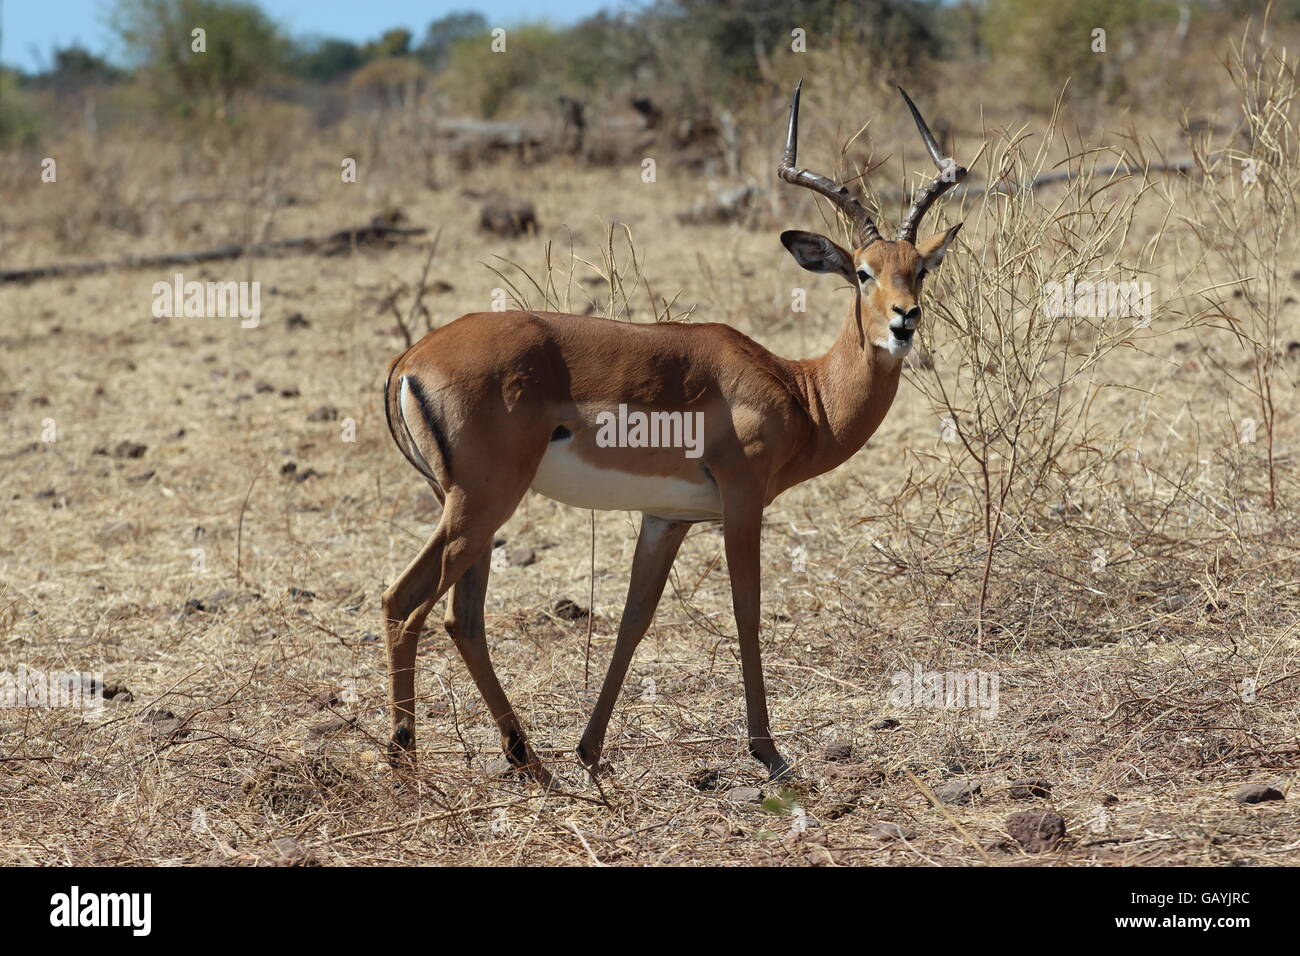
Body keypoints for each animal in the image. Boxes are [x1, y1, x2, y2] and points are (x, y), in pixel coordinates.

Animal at [381, 82, 966, 785]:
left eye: (919, 270)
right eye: (862, 271)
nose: (904, 322)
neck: (801, 390)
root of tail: (409, 361)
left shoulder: (668, 517)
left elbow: (635, 618)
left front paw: (590, 751)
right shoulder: (742, 500)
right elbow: (747, 609)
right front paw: (769, 752)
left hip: (472, 510)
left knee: (461, 619)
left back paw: (533, 763)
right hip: (481, 503)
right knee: (404, 603)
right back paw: (408, 763)